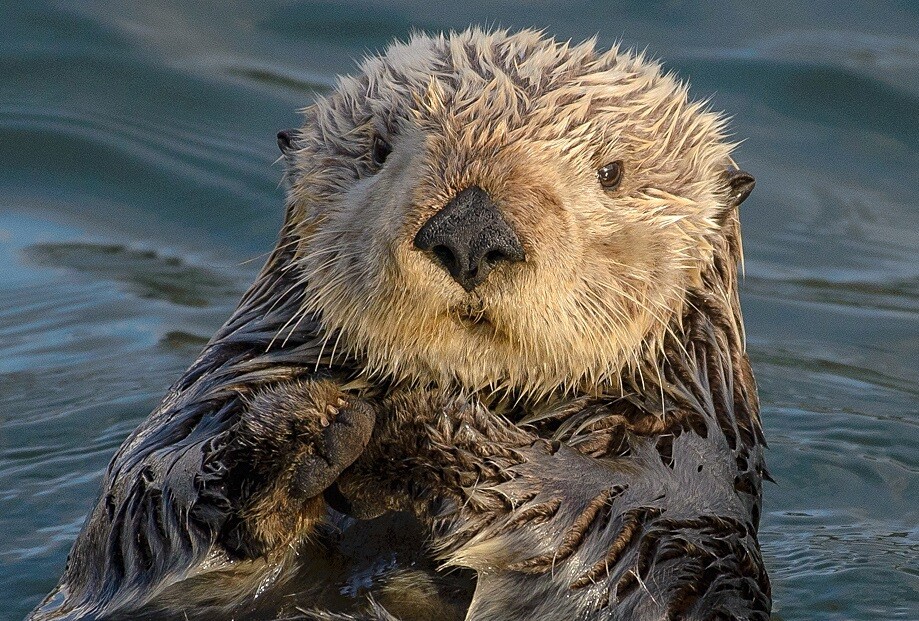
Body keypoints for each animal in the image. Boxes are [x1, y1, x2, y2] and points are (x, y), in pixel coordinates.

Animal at [30, 29, 768, 620]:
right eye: (379, 150)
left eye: (611, 172)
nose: (470, 231)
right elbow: (139, 505)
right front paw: (304, 426)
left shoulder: (683, 490)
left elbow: (612, 530)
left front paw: (413, 433)